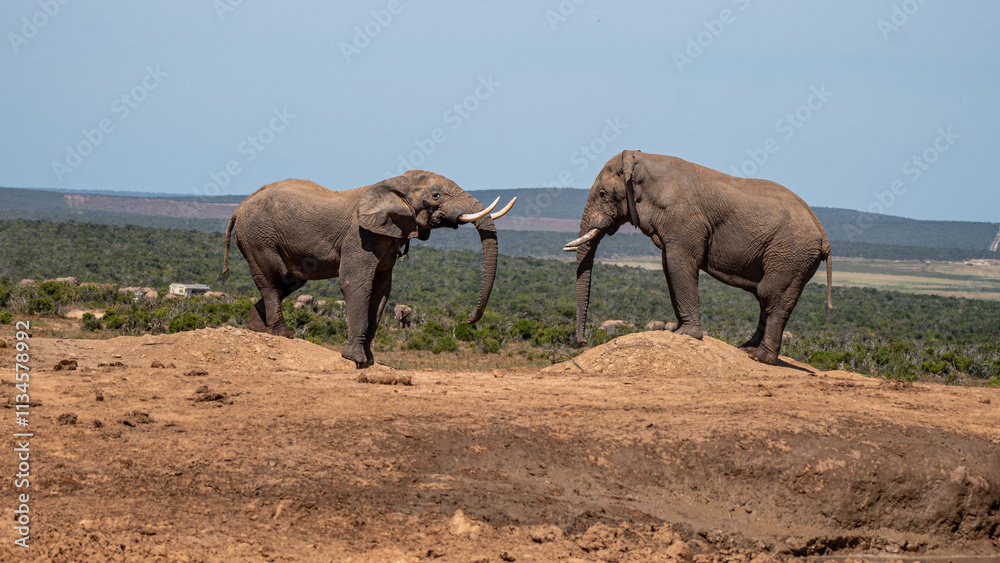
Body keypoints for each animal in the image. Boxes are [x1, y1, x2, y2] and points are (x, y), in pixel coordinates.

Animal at [220, 170, 516, 367]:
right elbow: (356, 283)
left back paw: (257, 331)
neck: (393, 184)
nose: (469, 320)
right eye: (436, 195)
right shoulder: (360, 237)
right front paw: (355, 359)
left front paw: (369, 361)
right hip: (258, 237)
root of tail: (237, 209)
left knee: (287, 282)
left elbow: (382, 290)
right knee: (273, 280)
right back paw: (284, 336)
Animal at [564, 150, 832, 365]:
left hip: (791, 253)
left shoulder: (685, 221)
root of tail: (823, 234)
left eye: (602, 194)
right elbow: (668, 266)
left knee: (772, 296)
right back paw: (745, 349)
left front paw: (686, 335)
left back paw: (759, 357)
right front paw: (678, 330)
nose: (582, 342)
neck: (641, 159)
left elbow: (679, 264)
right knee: (765, 297)